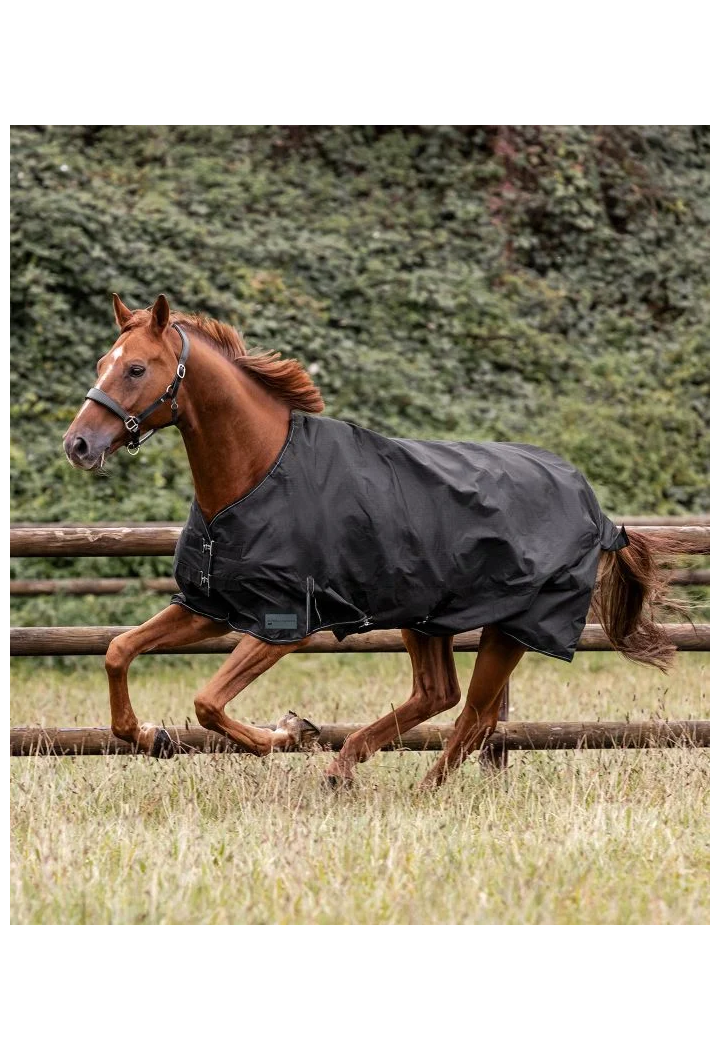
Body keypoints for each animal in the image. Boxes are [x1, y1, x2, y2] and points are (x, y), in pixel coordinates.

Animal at [64, 293, 685, 788]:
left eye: (136, 368)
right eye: (101, 363)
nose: (78, 445)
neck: (256, 474)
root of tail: (596, 509)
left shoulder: (283, 624)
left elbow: (208, 701)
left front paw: (286, 734)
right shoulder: (210, 606)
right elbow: (119, 651)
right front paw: (151, 737)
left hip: (512, 628)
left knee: (475, 715)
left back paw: (410, 790)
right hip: (426, 618)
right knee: (439, 696)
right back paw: (347, 768)